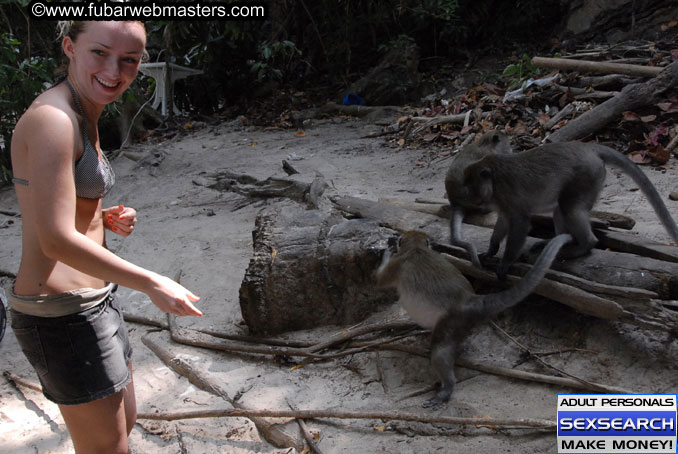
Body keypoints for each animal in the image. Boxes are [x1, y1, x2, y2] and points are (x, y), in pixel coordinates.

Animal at [374, 231, 572, 408]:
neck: (416, 247)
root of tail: (470, 300)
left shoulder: (398, 263)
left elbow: (379, 280)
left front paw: (387, 252)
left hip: (453, 321)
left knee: (439, 350)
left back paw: (447, 387)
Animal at [444, 129, 512, 268]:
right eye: (507, 143)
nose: (511, 150)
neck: (485, 144)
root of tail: (455, 202)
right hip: (474, 196)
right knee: (482, 175)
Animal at [462, 142, 678, 278]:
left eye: (471, 187)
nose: (471, 199)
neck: (493, 180)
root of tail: (588, 148)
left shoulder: (508, 195)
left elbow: (520, 223)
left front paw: (505, 263)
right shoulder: (502, 201)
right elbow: (504, 221)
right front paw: (491, 249)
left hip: (587, 175)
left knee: (570, 209)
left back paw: (583, 245)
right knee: (560, 209)